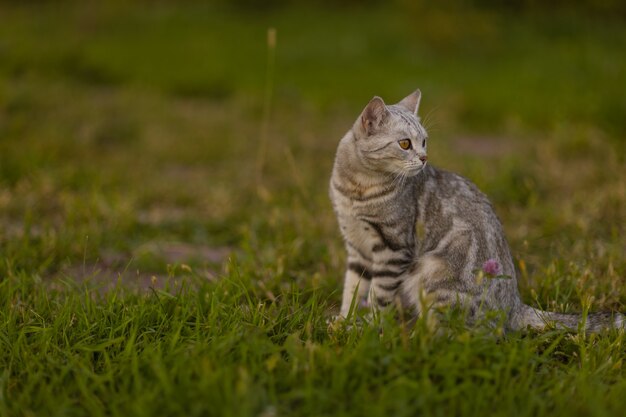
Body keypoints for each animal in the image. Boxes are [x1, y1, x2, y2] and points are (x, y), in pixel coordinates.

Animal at [330, 90, 620, 332]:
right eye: (404, 144)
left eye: (424, 142)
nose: (424, 158)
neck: (356, 189)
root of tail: (515, 306)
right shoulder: (356, 246)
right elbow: (353, 289)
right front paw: (344, 321)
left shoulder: (393, 248)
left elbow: (378, 295)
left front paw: (366, 327)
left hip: (433, 278)